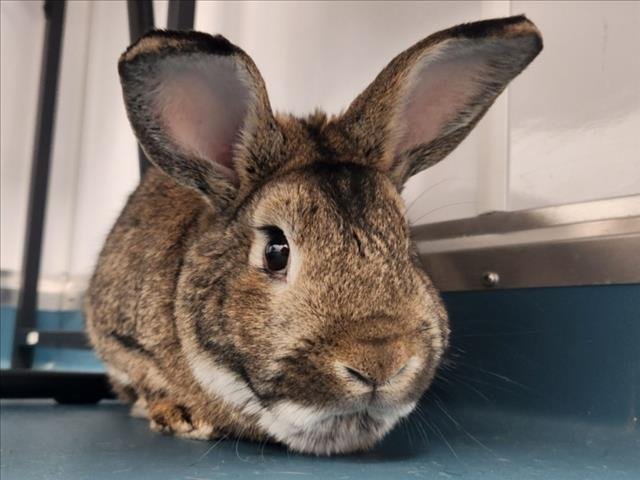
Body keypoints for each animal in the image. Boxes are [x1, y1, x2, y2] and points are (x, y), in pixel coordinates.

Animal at [85, 15, 542, 455]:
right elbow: (142, 375)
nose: (380, 362)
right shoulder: (116, 338)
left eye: (407, 245)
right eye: (275, 250)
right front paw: (179, 415)